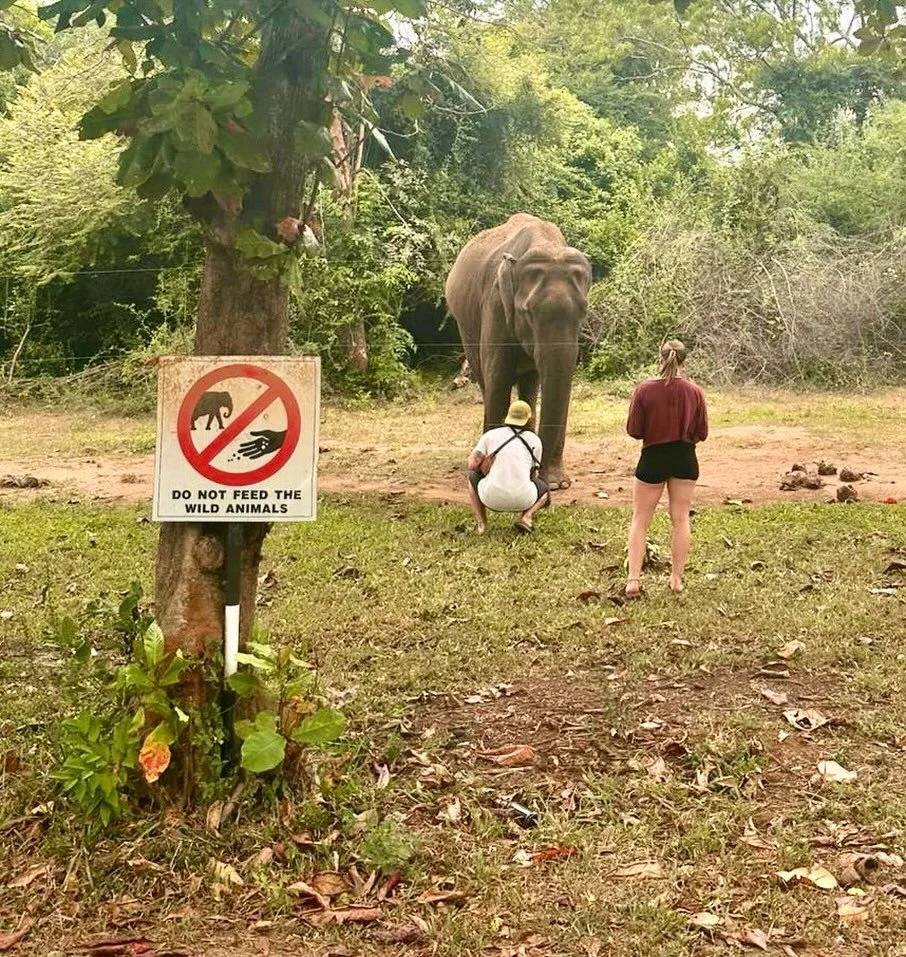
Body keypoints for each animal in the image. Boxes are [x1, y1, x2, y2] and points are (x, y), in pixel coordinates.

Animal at [445, 213, 592, 489]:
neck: (546, 243)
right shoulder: (495, 306)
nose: (538, 475)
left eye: (583, 312)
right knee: (486, 380)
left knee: (530, 383)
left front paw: (557, 484)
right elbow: (499, 381)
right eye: (528, 313)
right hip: (466, 326)